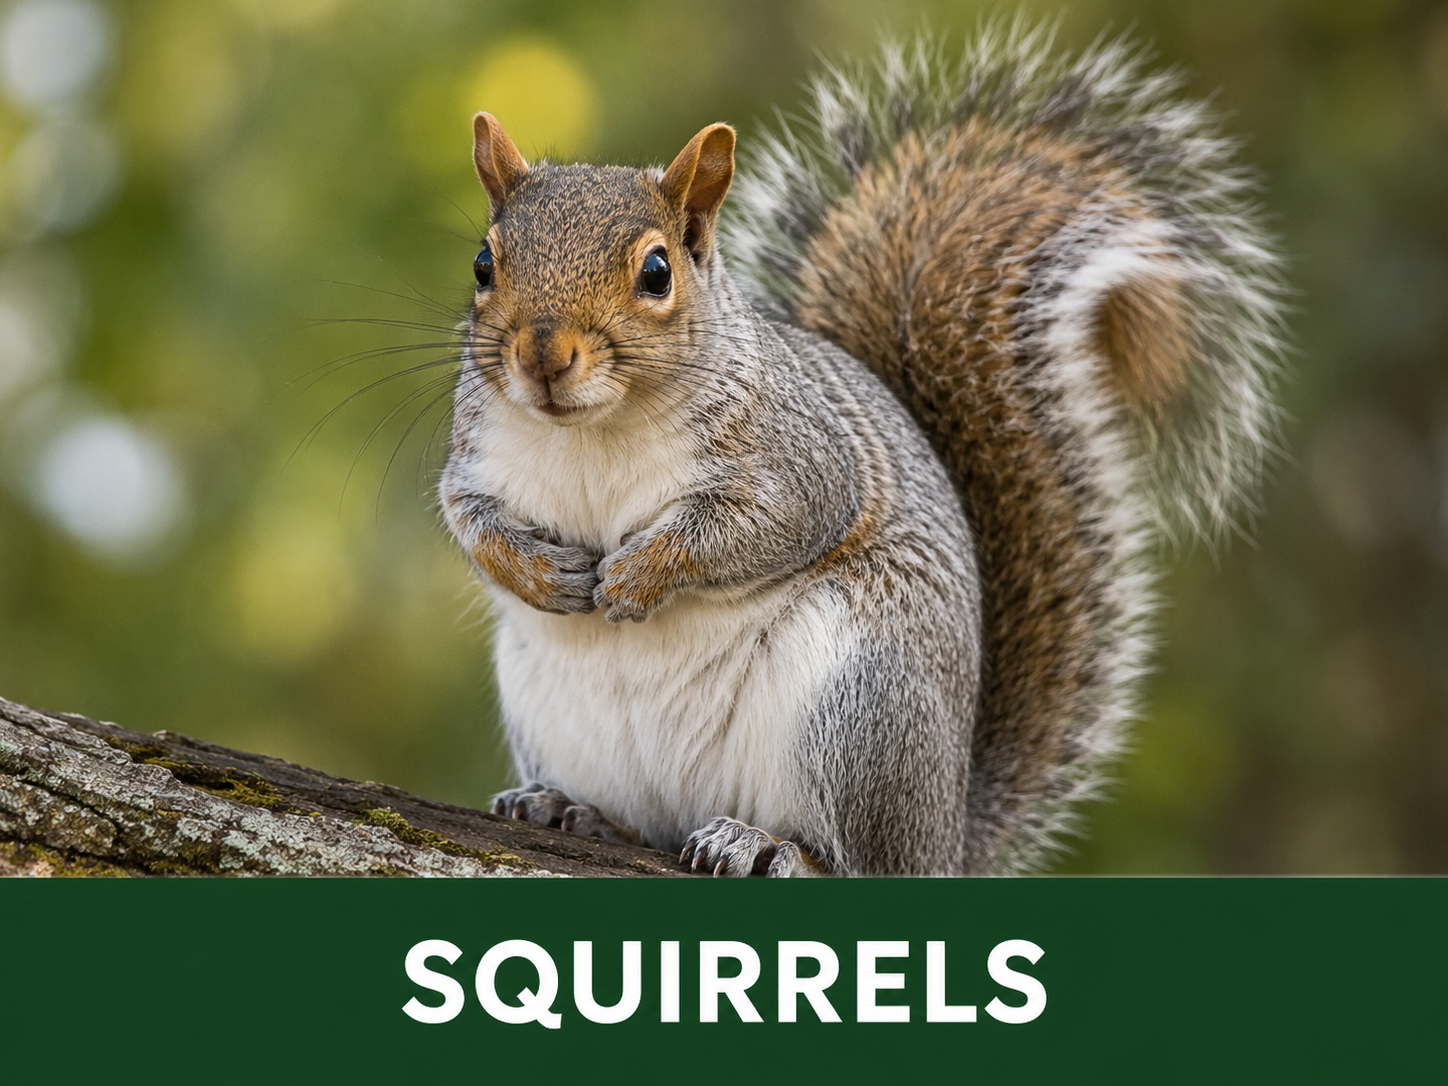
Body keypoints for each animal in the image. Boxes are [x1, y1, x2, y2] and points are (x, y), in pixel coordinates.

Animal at [438, 26, 1283, 876]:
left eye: (656, 271)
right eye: (483, 263)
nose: (543, 358)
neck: (591, 430)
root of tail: (946, 836)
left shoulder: (800, 459)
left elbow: (760, 526)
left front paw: (639, 574)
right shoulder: (475, 456)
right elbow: (469, 520)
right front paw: (540, 573)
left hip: (858, 707)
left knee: (859, 859)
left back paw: (766, 844)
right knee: (651, 826)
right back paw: (573, 811)